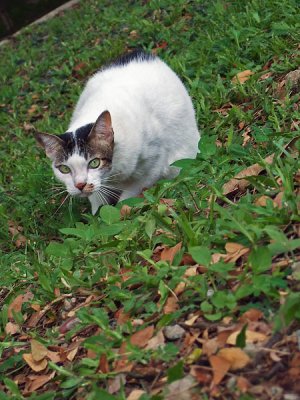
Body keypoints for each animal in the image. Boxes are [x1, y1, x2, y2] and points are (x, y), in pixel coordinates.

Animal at [36, 50, 200, 216]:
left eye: (94, 163)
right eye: (65, 169)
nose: (80, 185)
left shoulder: (153, 167)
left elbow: (128, 198)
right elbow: (98, 203)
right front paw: (97, 217)